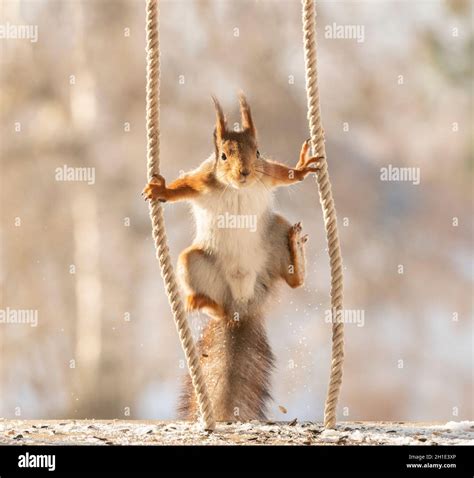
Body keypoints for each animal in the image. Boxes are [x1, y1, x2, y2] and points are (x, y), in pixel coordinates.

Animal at [143, 94, 320, 422]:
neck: (238, 188)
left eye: (258, 151)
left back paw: (295, 252)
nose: (245, 172)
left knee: (293, 281)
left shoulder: (267, 173)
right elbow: (183, 187)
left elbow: (284, 174)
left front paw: (302, 167)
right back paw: (202, 302)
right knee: (215, 305)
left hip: (276, 231)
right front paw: (160, 189)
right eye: (223, 156)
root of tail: (243, 305)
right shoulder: (202, 180)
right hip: (194, 264)